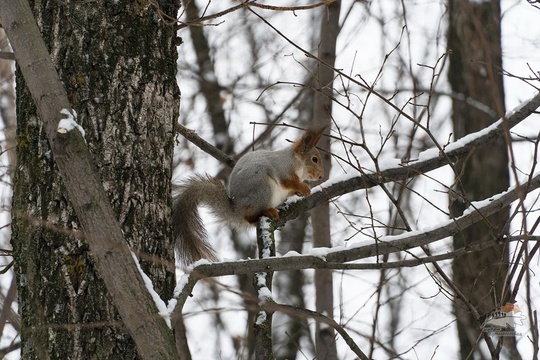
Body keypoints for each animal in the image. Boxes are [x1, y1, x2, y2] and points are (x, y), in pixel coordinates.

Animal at [173, 129, 324, 264]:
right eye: (314, 159)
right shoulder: (283, 169)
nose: (321, 176)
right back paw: (268, 212)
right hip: (263, 188)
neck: (296, 161)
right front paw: (304, 188)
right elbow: (289, 182)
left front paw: (300, 192)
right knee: (249, 216)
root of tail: (237, 210)